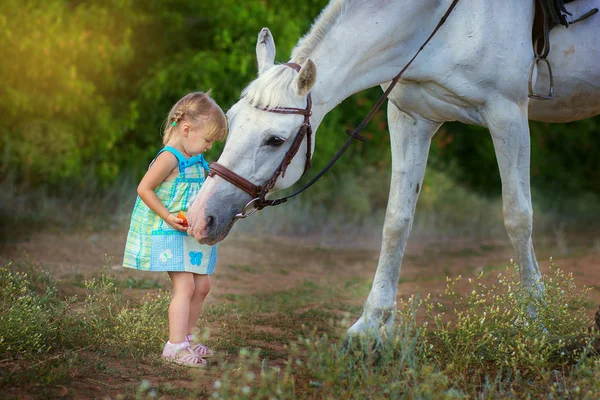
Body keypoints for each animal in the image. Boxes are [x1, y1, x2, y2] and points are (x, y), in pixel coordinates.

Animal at [189, 0, 600, 338]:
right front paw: (371, 323)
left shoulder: (508, 114)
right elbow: (397, 219)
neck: (442, 19)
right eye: (231, 119)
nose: (200, 217)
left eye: (274, 139)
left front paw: (533, 320)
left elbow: (518, 216)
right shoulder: (410, 116)